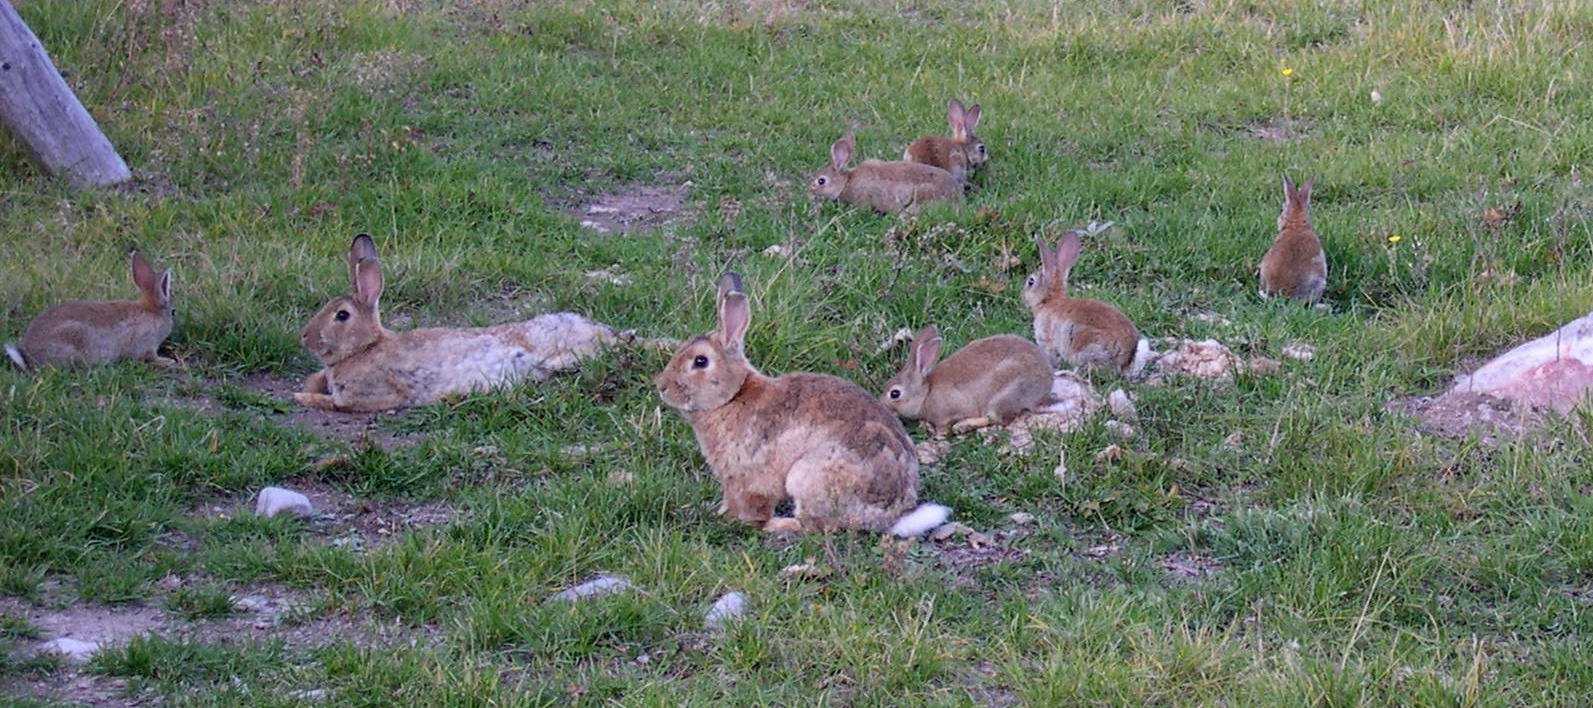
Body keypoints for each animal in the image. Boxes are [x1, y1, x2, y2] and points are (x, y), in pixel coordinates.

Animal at [6, 251, 174, 370]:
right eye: (173, 312)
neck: (151, 311)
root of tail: (27, 357)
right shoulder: (145, 345)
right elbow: (148, 358)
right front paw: (168, 361)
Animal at [295, 233, 624, 413]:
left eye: (341, 315)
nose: (305, 337)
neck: (365, 347)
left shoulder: (370, 395)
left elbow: (335, 403)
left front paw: (300, 396)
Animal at [654, 272, 950, 537]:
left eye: (700, 361)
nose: (661, 386)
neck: (733, 395)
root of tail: (889, 517)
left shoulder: (749, 478)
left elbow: (752, 505)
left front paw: (739, 521)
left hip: (808, 477)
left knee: (817, 525)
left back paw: (779, 526)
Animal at [880, 326, 1054, 436]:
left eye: (894, 394)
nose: (882, 406)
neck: (926, 393)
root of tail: (1044, 390)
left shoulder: (947, 412)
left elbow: (943, 426)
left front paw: (938, 434)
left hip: (1004, 395)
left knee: (995, 418)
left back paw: (963, 426)